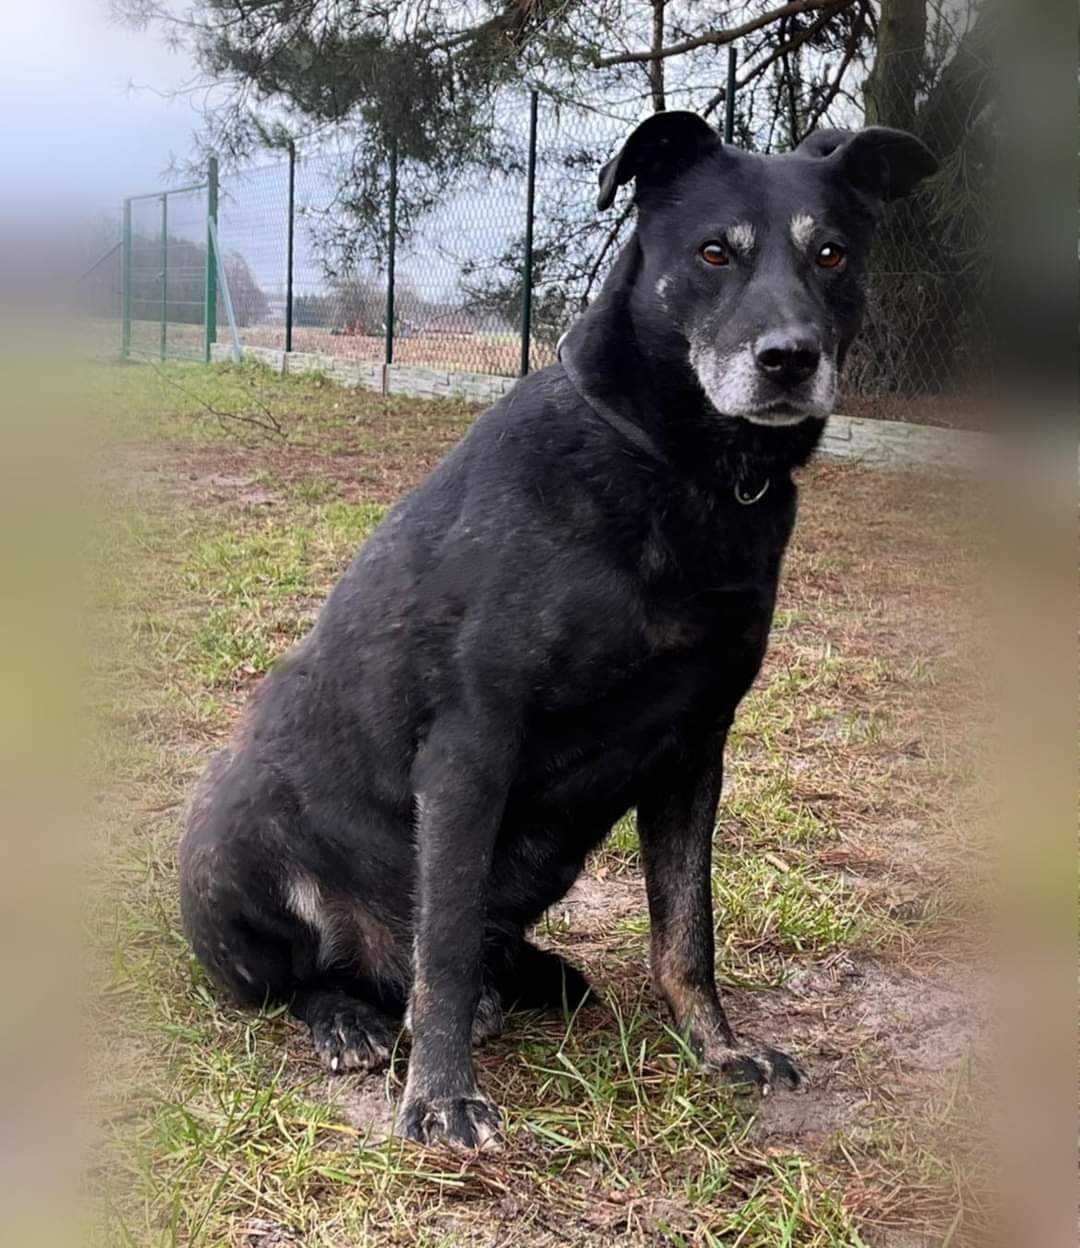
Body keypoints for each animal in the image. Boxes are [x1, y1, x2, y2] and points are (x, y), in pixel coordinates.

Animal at [178, 117, 933, 1148]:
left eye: (832, 254)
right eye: (714, 252)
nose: (790, 359)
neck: (680, 472)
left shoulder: (694, 752)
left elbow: (685, 934)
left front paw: (720, 1048)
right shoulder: (470, 749)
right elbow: (447, 944)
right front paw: (440, 1096)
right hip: (235, 828)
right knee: (305, 979)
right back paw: (349, 1018)